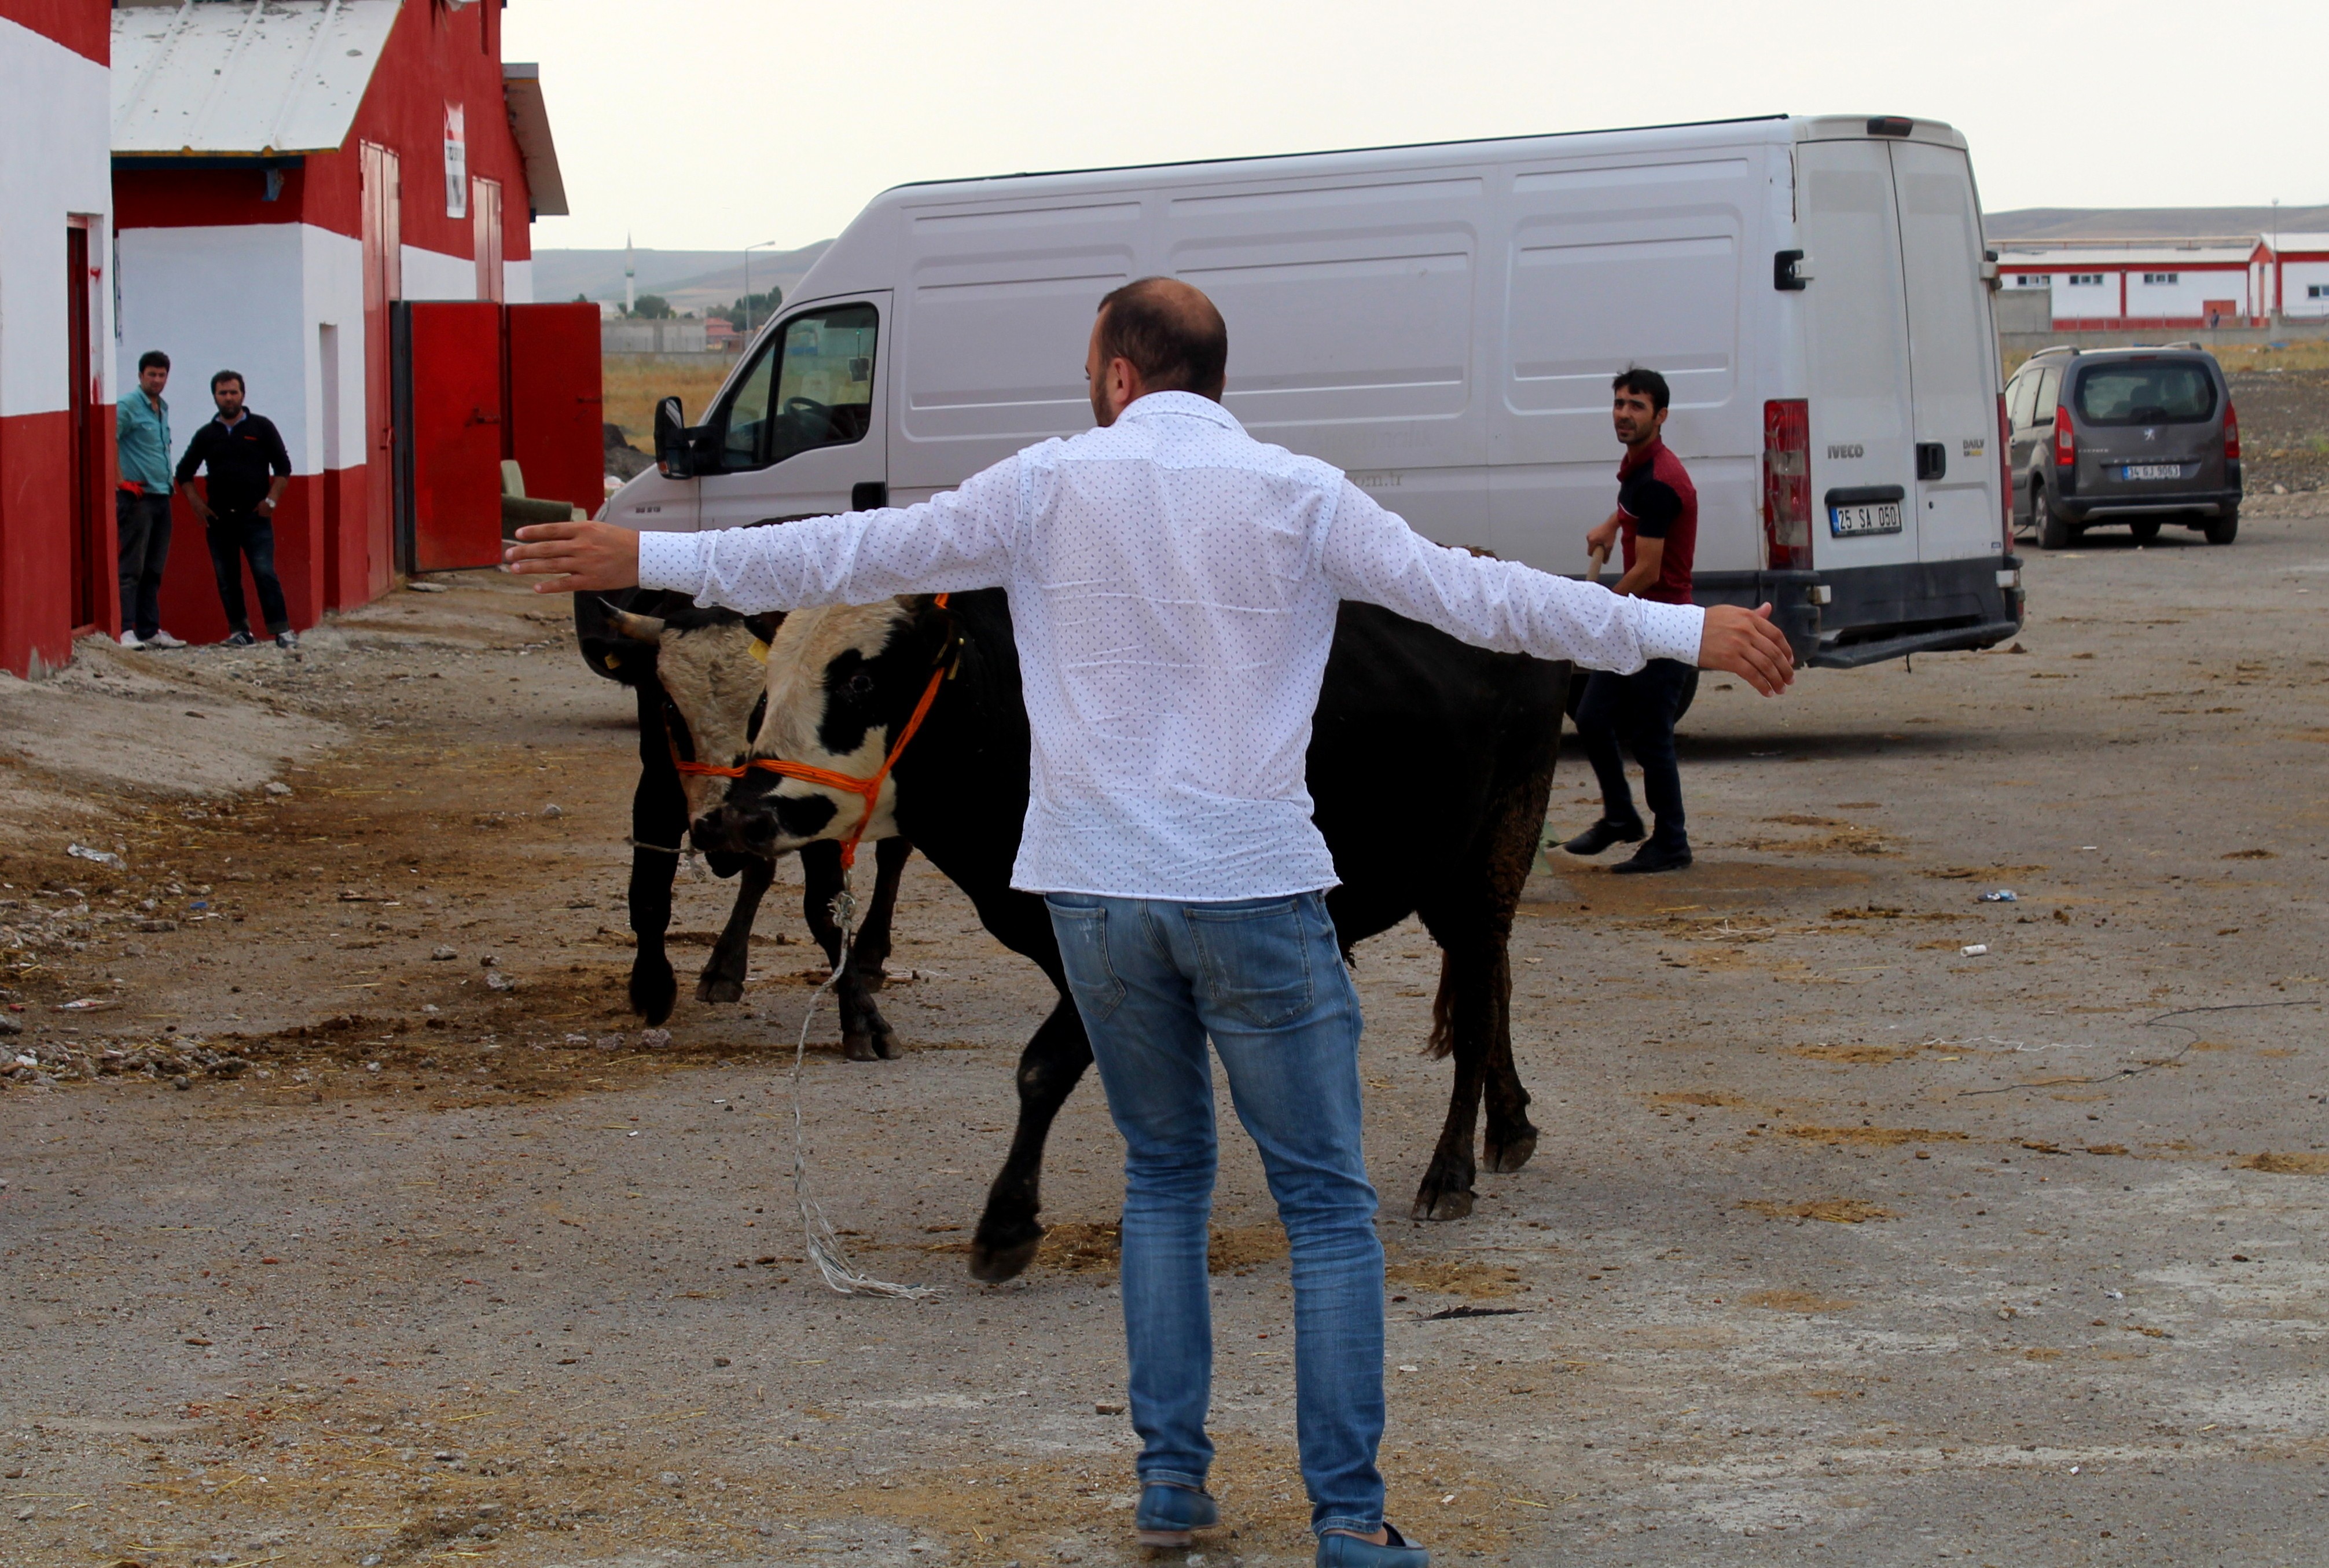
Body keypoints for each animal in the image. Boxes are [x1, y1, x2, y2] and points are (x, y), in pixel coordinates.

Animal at [587, 594, 913, 1057]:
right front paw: (652, 987)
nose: (716, 827)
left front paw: (862, 1019)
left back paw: (869, 955)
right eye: (670, 707)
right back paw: (724, 967)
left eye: (763, 705)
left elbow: (824, 910)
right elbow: (648, 895)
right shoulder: (656, 783)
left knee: (893, 853)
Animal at [689, 594, 1565, 1276]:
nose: (737, 819)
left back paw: (1450, 1172)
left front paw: (1006, 1223)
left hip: (1496, 849)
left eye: (862, 678)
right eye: (768, 686)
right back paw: (1511, 1124)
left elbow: (1043, 1068)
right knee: (1494, 981)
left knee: (1480, 1000)